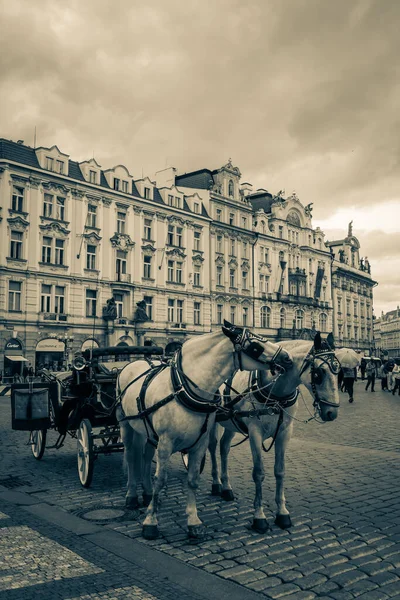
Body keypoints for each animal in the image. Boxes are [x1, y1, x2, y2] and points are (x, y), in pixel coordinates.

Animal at [115, 322, 290, 540]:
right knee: (131, 457)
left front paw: (193, 521)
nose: (288, 358)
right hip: (126, 425)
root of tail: (132, 363)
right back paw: (131, 496)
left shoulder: (199, 443)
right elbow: (160, 479)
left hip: (146, 432)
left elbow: (192, 480)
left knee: (145, 458)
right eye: (255, 347)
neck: (183, 388)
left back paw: (147, 494)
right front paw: (151, 523)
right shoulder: (165, 443)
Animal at [208, 332, 340, 536]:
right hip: (213, 422)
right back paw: (216, 483)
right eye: (318, 374)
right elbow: (259, 473)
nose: (332, 413)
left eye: (338, 371)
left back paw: (227, 488)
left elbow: (280, 471)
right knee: (213, 447)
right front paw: (259, 517)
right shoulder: (255, 432)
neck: (274, 392)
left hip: (231, 423)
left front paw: (282, 513)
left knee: (224, 448)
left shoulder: (285, 432)